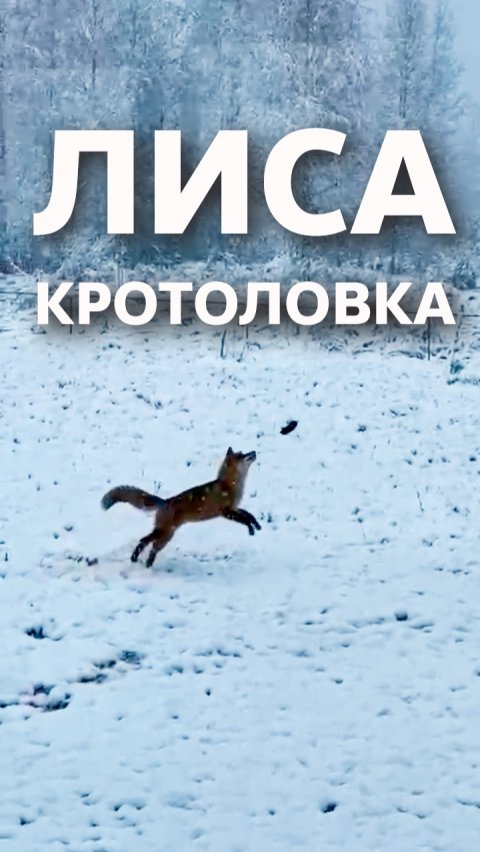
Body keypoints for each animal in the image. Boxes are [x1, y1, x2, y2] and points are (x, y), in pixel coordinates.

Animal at [101, 447, 261, 567]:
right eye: (241, 455)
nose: (254, 451)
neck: (228, 486)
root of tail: (164, 501)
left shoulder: (235, 508)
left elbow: (249, 515)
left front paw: (257, 526)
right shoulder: (226, 511)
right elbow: (244, 519)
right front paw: (251, 529)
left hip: (166, 537)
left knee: (152, 548)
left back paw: (148, 565)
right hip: (164, 533)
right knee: (143, 540)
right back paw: (135, 558)